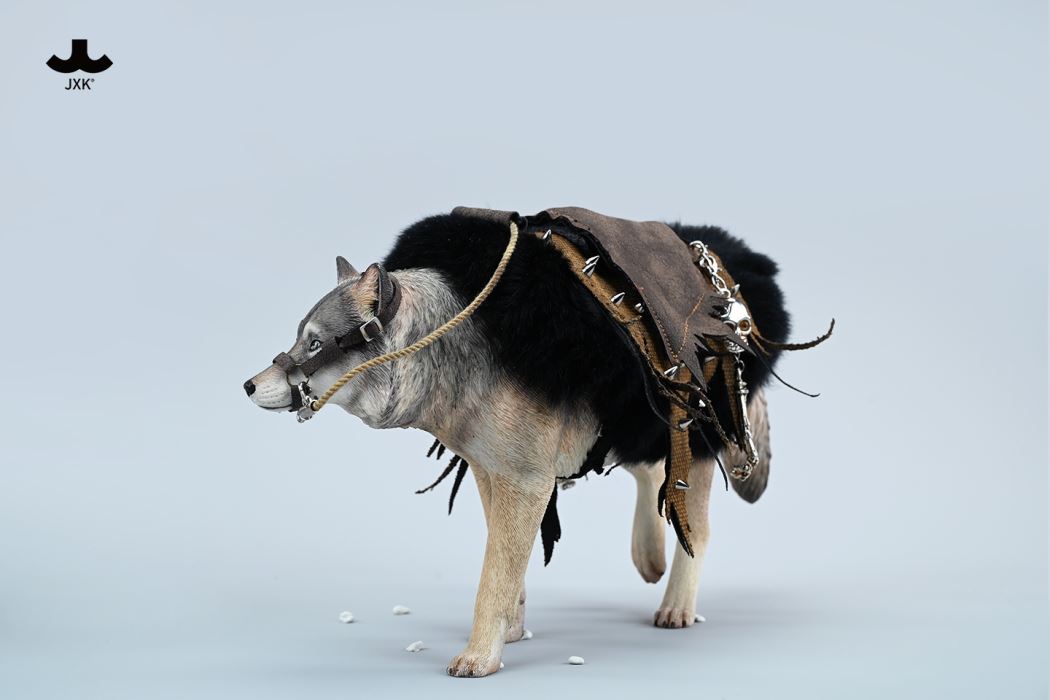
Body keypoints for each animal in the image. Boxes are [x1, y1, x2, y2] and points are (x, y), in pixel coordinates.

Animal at [244, 209, 790, 677]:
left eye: (316, 343)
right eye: (300, 336)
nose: (248, 385)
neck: (462, 348)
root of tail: (738, 264)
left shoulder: (526, 482)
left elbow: (495, 573)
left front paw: (479, 657)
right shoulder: (492, 473)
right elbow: (512, 564)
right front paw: (511, 630)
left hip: (690, 442)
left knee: (695, 524)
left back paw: (676, 603)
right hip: (626, 426)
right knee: (650, 471)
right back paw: (648, 557)